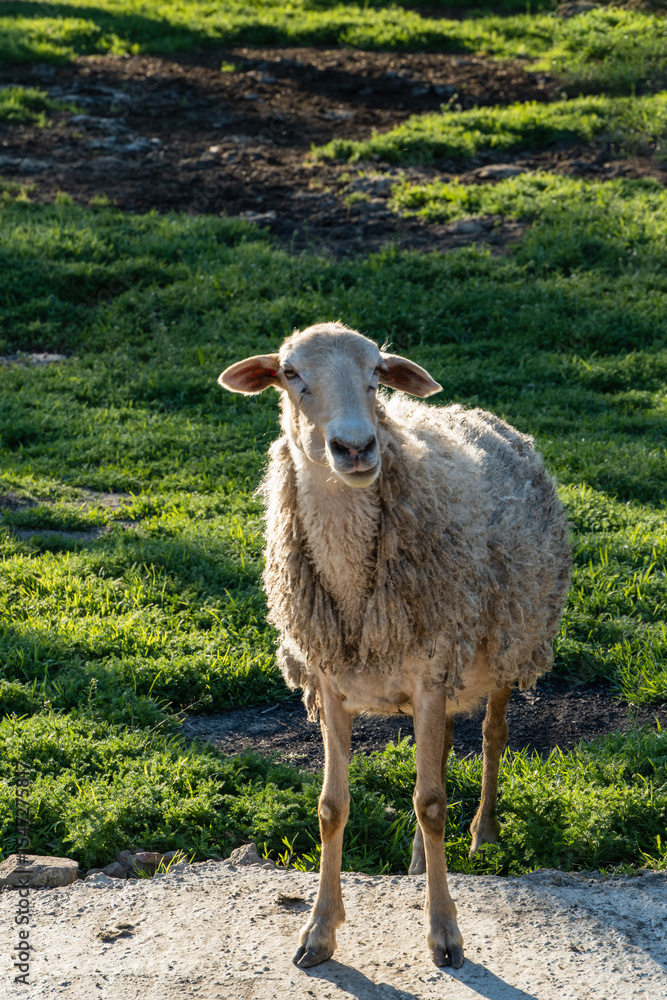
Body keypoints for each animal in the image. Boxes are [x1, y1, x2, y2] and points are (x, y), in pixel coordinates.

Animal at [219, 321, 571, 971]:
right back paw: (415, 859)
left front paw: (445, 933)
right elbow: (332, 808)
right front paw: (319, 932)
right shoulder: (333, 683)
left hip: (504, 648)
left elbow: (431, 803)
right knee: (443, 749)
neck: (353, 589)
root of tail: (480, 414)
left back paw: (483, 832)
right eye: (290, 373)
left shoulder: (429, 676)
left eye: (377, 374)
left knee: (492, 735)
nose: (356, 448)